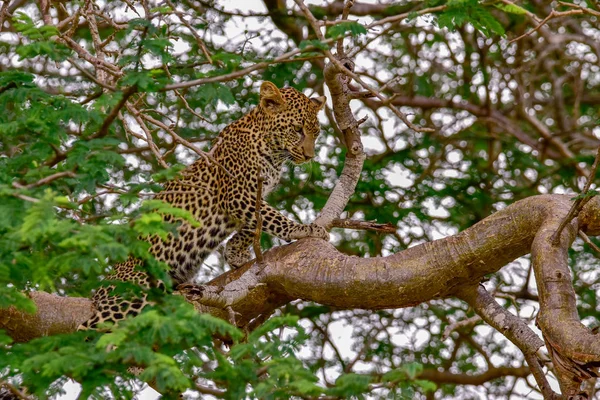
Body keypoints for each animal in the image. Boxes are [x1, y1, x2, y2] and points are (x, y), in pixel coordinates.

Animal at [79, 80, 328, 328]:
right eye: (297, 129)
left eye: (315, 134)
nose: (310, 156)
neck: (274, 153)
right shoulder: (237, 194)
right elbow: (272, 218)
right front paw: (304, 229)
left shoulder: (255, 194)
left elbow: (255, 223)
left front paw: (235, 253)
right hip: (128, 294)